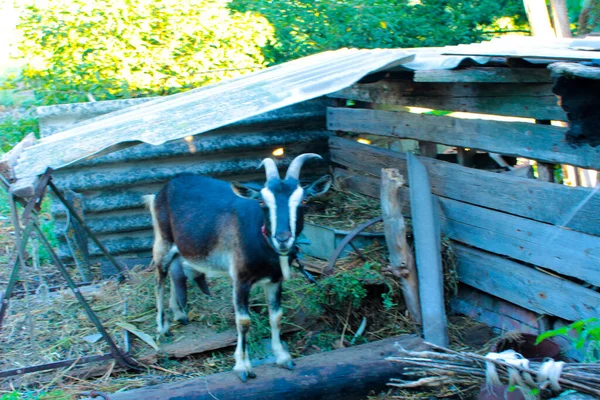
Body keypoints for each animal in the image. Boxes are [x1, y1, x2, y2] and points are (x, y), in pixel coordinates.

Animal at [145, 154, 332, 382]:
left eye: (304, 201)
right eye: (262, 202)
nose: (282, 238)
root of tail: (162, 190)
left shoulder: (275, 281)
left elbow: (276, 316)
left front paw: (283, 357)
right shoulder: (241, 279)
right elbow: (243, 321)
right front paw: (243, 367)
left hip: (184, 246)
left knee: (175, 272)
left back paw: (179, 314)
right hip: (162, 241)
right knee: (159, 280)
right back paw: (162, 328)